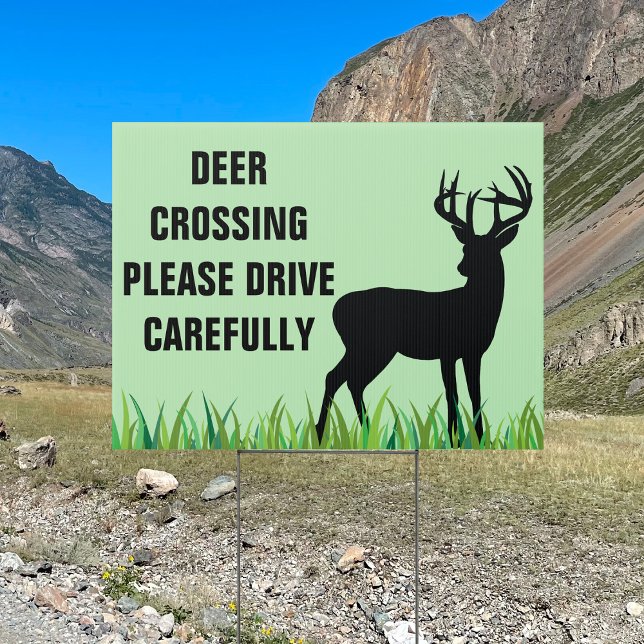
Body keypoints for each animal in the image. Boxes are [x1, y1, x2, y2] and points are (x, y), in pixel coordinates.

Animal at [315, 166, 533, 444]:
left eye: (490, 249)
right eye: (465, 247)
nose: (461, 267)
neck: (473, 307)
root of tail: (336, 309)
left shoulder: (474, 352)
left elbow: (475, 393)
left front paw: (480, 438)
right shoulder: (447, 350)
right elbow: (453, 395)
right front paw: (454, 439)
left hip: (364, 347)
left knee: (342, 378)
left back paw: (348, 432)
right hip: (372, 345)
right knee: (347, 378)